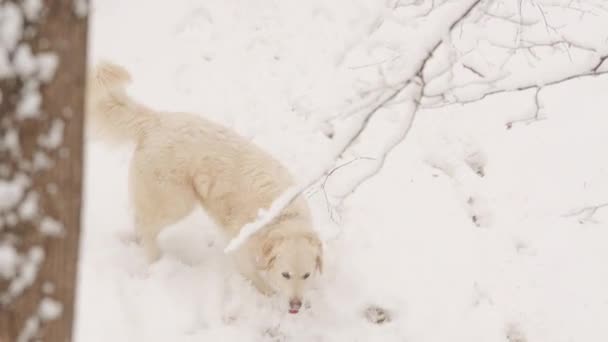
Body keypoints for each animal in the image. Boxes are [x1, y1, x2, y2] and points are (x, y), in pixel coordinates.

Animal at [86, 61, 324, 312]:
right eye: (285, 274)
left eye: (306, 275)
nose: (296, 305)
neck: (281, 217)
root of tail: (156, 120)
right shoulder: (241, 251)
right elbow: (256, 279)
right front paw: (270, 295)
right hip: (175, 203)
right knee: (146, 227)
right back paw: (154, 259)